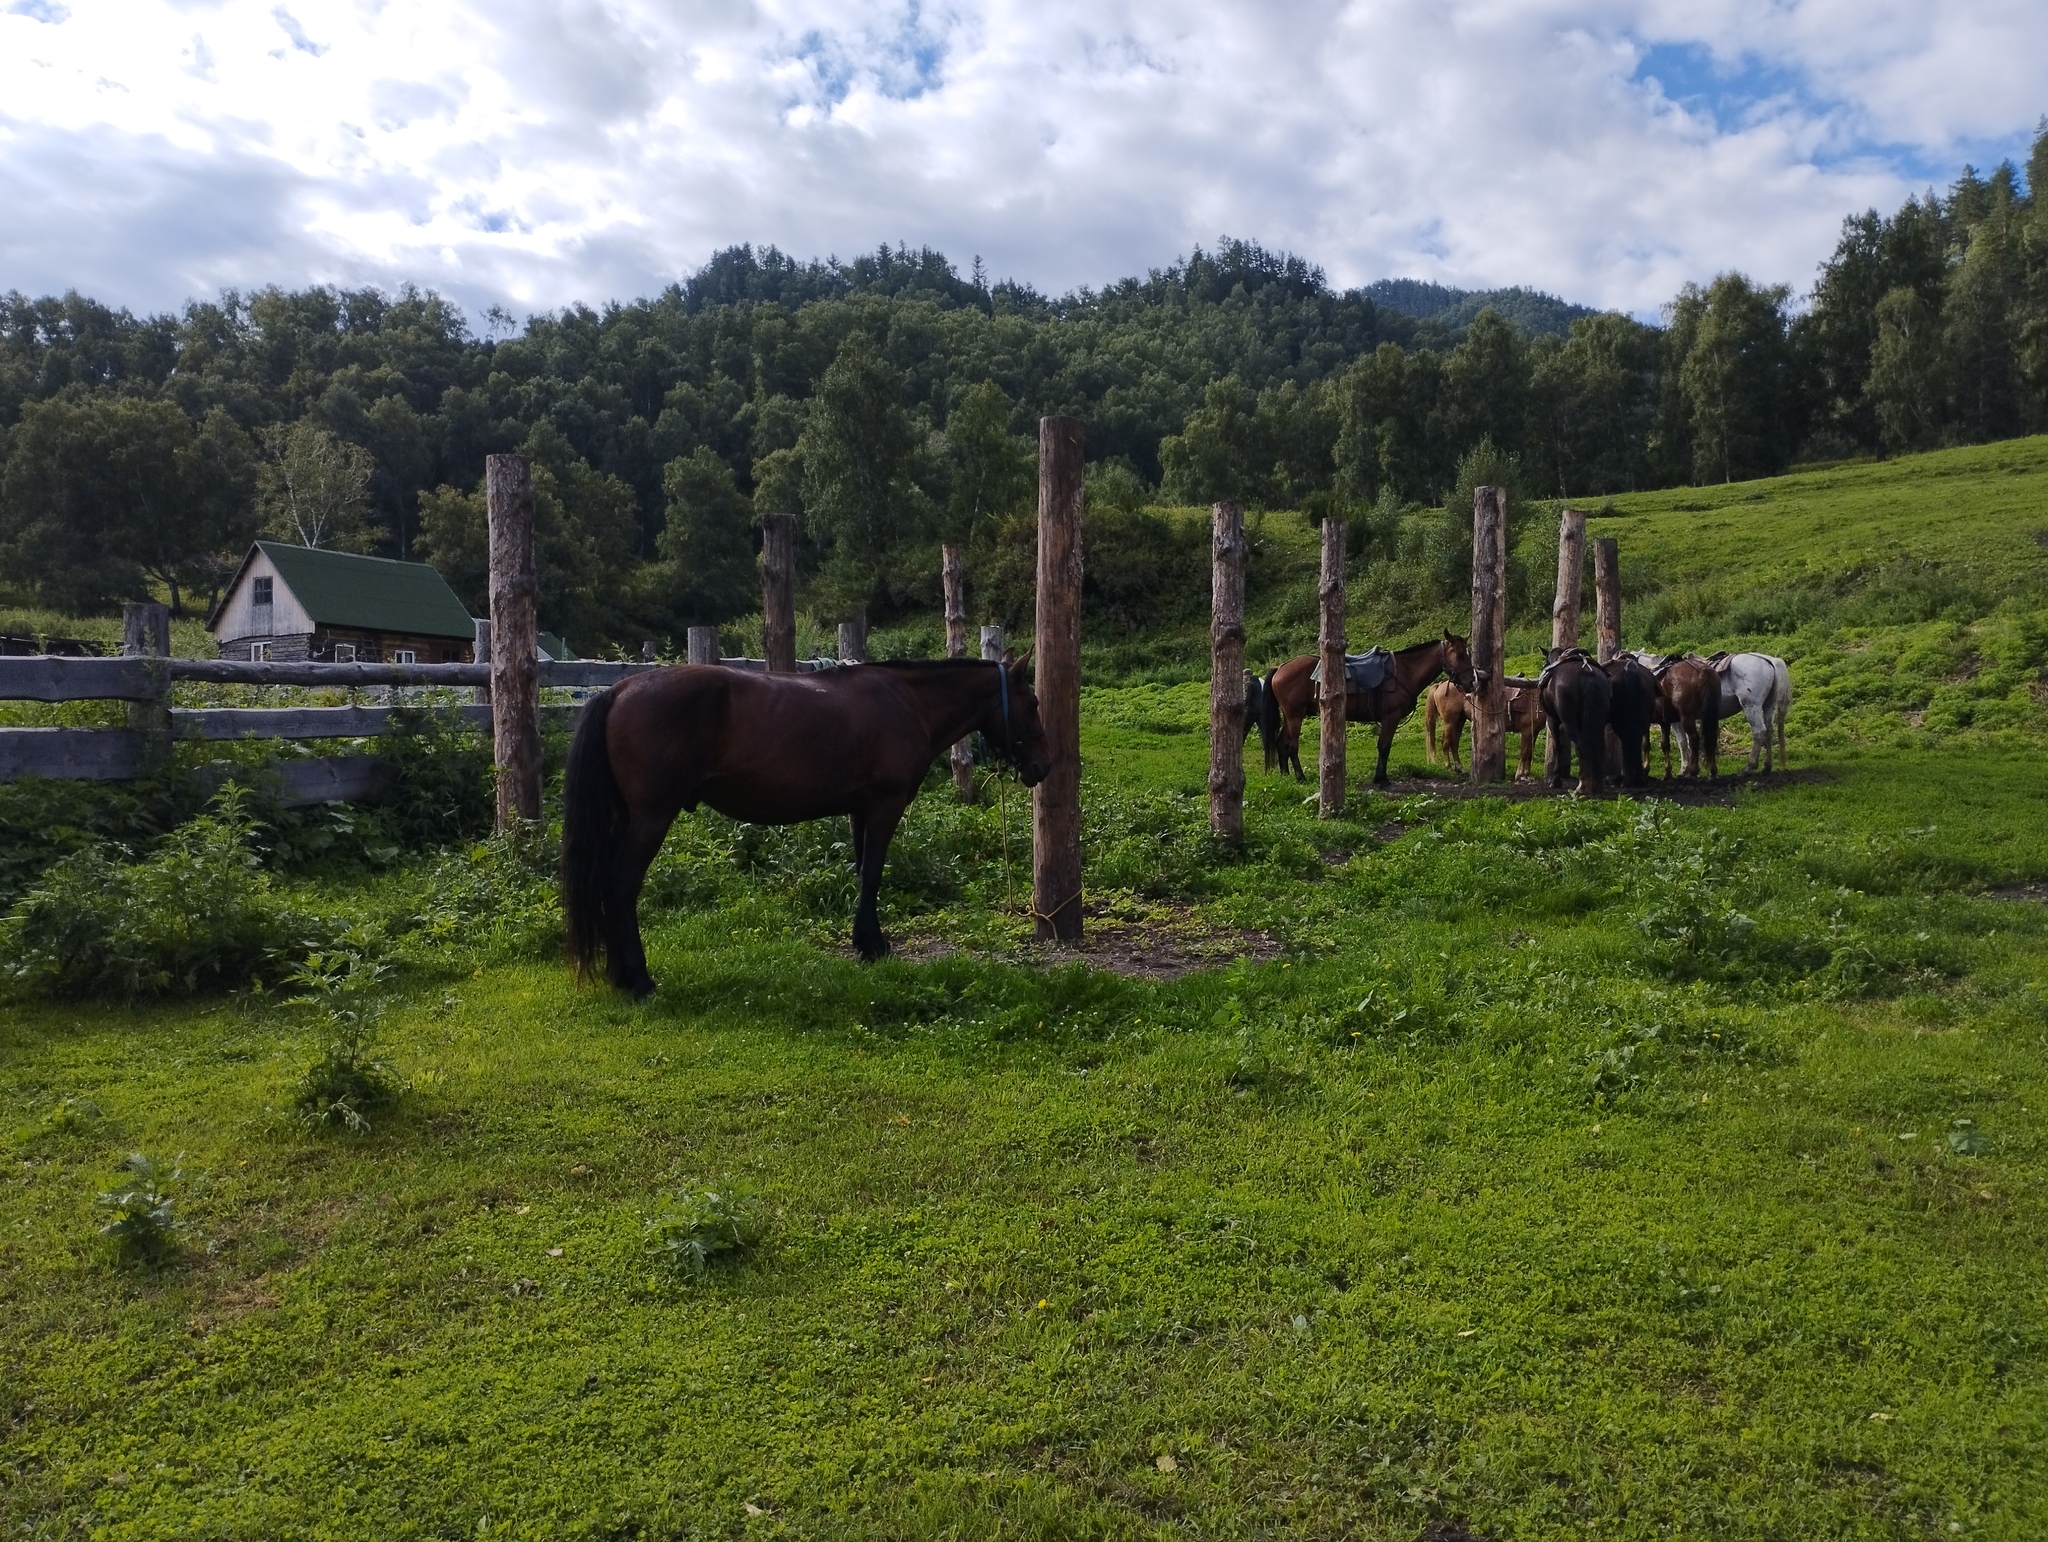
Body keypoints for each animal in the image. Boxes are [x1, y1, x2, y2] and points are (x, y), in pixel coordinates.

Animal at [561, 655, 1048, 991]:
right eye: (1033, 703)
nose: (1041, 767)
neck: (907, 702)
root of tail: (619, 690)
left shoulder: (859, 810)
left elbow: (861, 872)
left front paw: (864, 940)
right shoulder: (885, 806)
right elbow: (874, 873)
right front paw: (873, 945)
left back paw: (620, 974)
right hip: (651, 817)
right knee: (621, 884)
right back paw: (638, 979)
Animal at [1261, 630, 1474, 786]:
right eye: (1460, 654)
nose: (1472, 681)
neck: (1405, 672)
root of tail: (1281, 667)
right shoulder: (1390, 718)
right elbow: (1384, 747)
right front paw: (1381, 779)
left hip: (1290, 716)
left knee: (1281, 742)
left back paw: (1285, 775)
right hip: (1295, 715)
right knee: (1291, 745)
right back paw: (1300, 777)